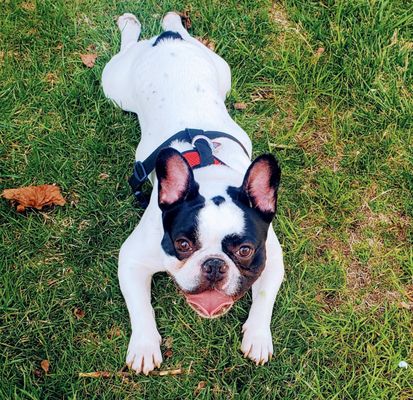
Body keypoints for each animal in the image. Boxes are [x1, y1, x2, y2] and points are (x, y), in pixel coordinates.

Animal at [101, 12, 284, 376]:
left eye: (244, 250)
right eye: (183, 245)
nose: (214, 265)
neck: (210, 176)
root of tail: (167, 41)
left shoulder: (272, 260)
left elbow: (264, 298)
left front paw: (258, 337)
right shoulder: (132, 260)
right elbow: (140, 308)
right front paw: (144, 345)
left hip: (222, 71)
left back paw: (171, 21)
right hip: (114, 86)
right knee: (127, 46)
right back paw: (130, 24)